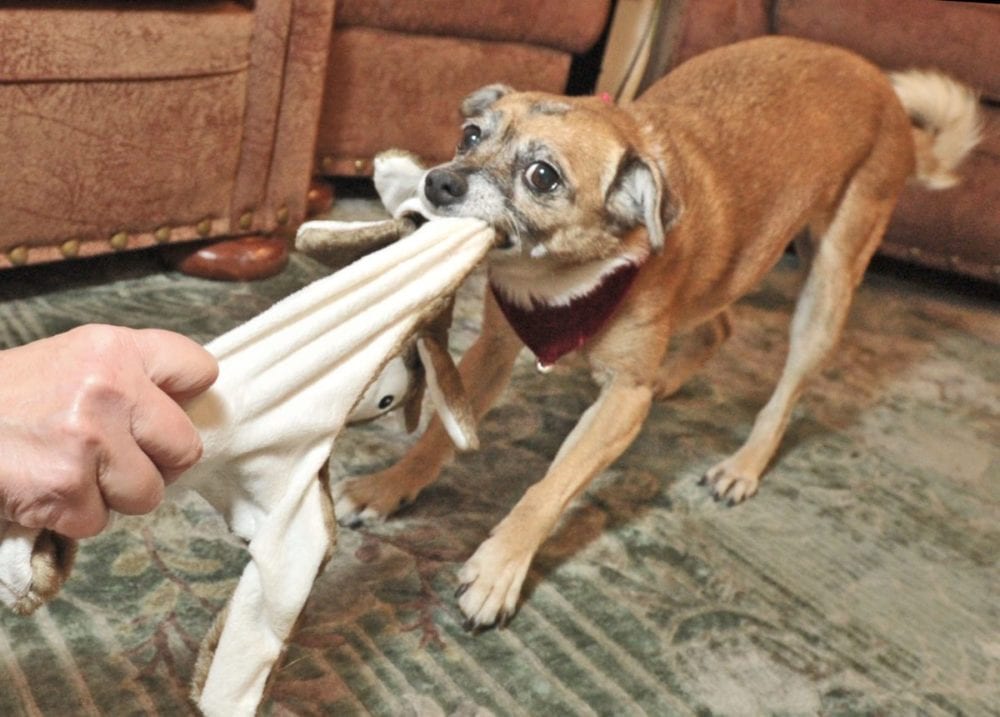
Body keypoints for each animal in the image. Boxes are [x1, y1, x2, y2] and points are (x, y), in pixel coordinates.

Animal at [332, 35, 980, 628]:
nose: (438, 183)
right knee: (720, 325)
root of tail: (884, 90)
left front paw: (499, 569)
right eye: (470, 135)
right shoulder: (494, 351)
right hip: (732, 277)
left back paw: (744, 466)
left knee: (785, 392)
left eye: (542, 176)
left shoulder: (620, 402)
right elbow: (436, 438)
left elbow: (550, 488)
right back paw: (674, 381)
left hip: (828, 285)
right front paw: (387, 488)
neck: (566, 281)